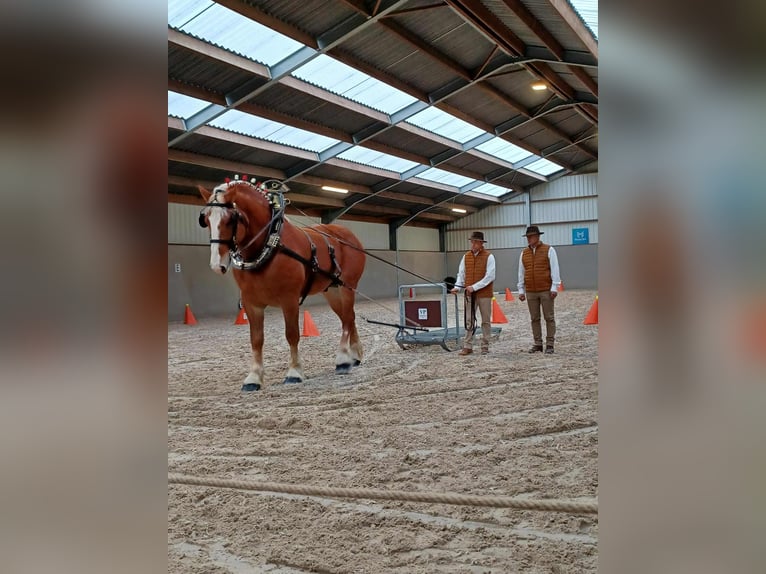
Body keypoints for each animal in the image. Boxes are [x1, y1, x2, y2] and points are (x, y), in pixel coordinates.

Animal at [197, 178, 366, 391]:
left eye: (230, 219)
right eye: (205, 219)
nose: (216, 265)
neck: (269, 243)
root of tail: (348, 234)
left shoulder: (289, 300)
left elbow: (292, 334)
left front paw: (294, 372)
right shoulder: (251, 303)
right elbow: (256, 339)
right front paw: (253, 378)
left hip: (347, 286)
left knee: (347, 320)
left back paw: (343, 359)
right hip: (332, 290)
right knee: (348, 317)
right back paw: (354, 355)